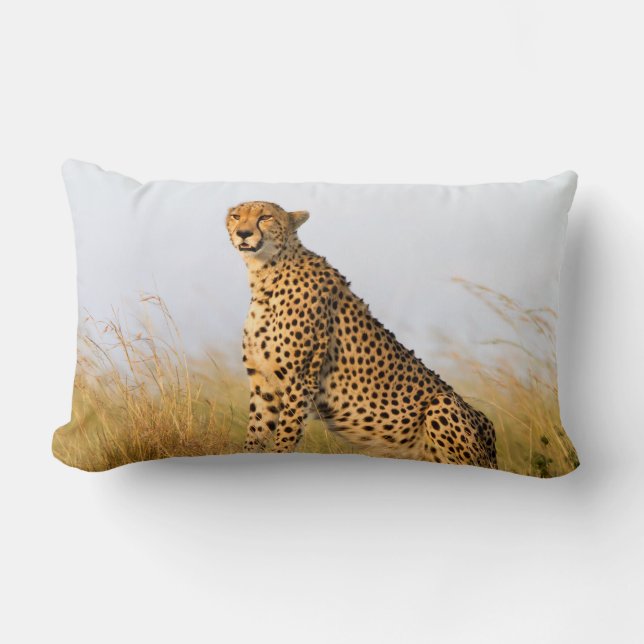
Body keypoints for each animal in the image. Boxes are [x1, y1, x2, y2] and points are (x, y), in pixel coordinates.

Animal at [225, 200, 497, 469]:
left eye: (265, 217)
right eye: (236, 216)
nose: (243, 233)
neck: (265, 275)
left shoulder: (300, 382)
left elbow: (285, 438)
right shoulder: (263, 383)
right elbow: (255, 434)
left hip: (443, 404)